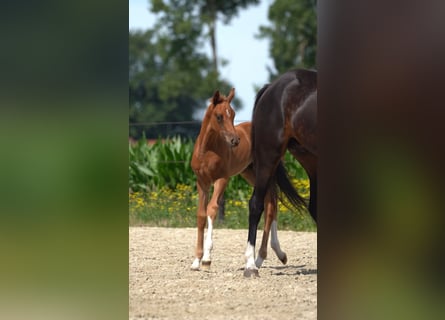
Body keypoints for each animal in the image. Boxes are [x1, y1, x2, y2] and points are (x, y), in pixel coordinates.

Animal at [191, 89, 288, 272]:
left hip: (265, 173)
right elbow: (201, 215)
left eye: (233, 114)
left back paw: (262, 258)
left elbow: (212, 209)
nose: (235, 141)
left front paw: (207, 259)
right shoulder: (202, 183)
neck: (207, 151)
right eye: (219, 116)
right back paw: (275, 255)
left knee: (271, 205)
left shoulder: (222, 179)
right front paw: (196, 260)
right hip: (249, 173)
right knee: (271, 203)